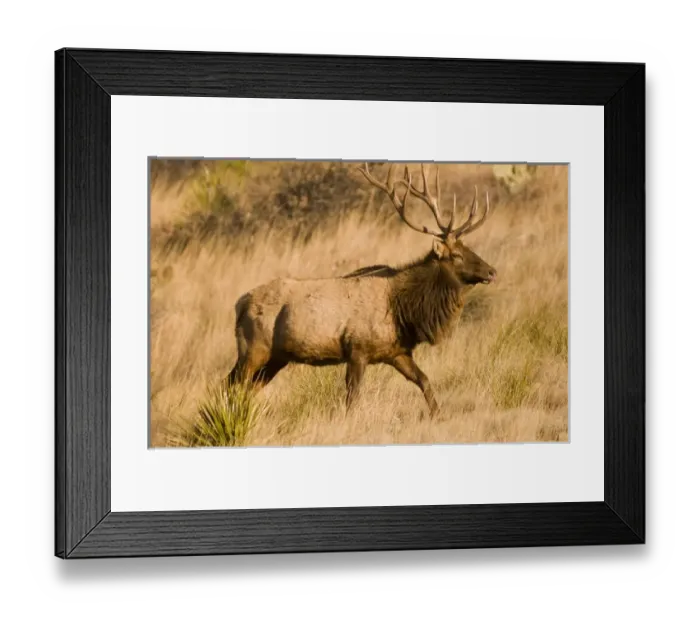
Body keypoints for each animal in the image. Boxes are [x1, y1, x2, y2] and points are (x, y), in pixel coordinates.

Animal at [227, 162, 497, 418]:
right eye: (457, 255)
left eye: (469, 248)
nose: (492, 271)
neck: (404, 310)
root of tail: (239, 303)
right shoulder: (357, 349)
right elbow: (352, 397)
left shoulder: (397, 352)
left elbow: (424, 380)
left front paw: (437, 415)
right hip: (253, 348)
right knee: (232, 384)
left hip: (277, 357)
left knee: (246, 387)